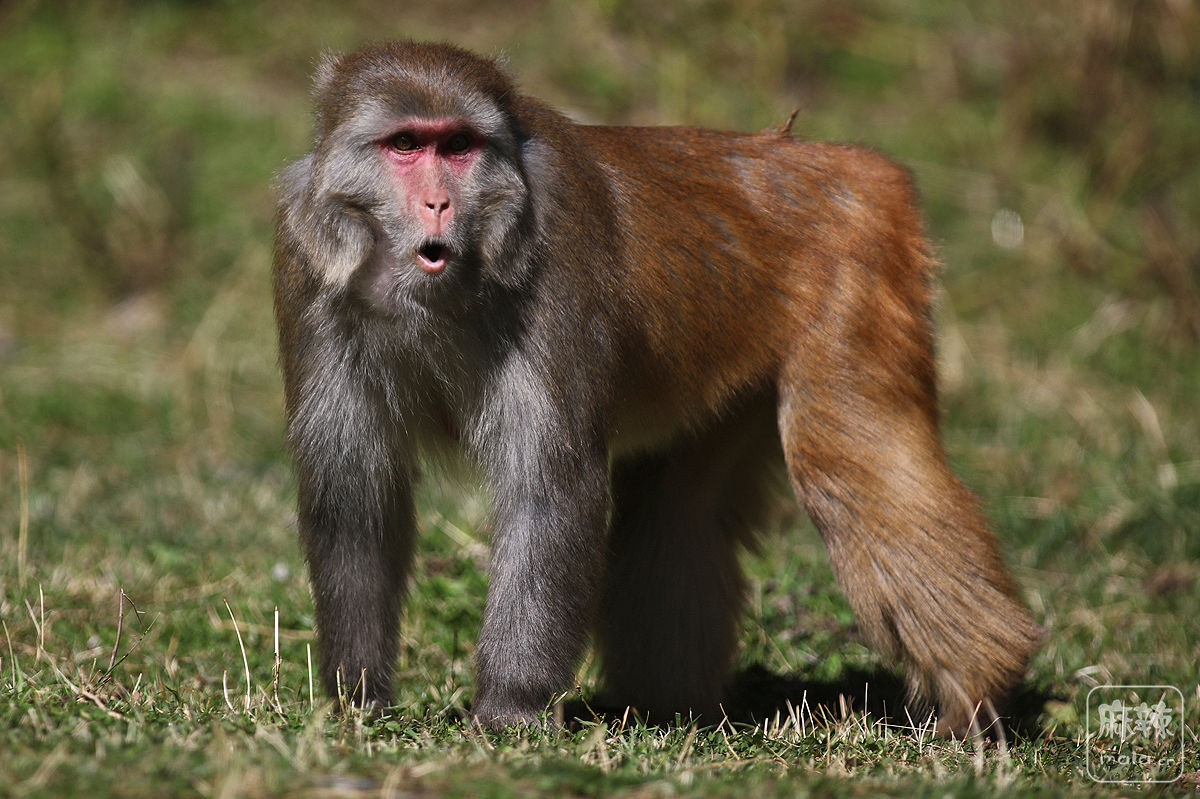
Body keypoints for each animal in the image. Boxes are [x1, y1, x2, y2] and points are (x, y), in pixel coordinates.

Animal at [274, 40, 1041, 729]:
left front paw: (508, 712)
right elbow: (354, 495)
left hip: (860, 289)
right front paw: (358, 701)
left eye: (457, 146)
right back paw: (670, 705)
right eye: (406, 145)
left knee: (850, 468)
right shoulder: (306, 268)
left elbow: (550, 487)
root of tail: (850, 163)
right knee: (675, 509)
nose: (437, 203)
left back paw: (975, 692)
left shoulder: (557, 262)